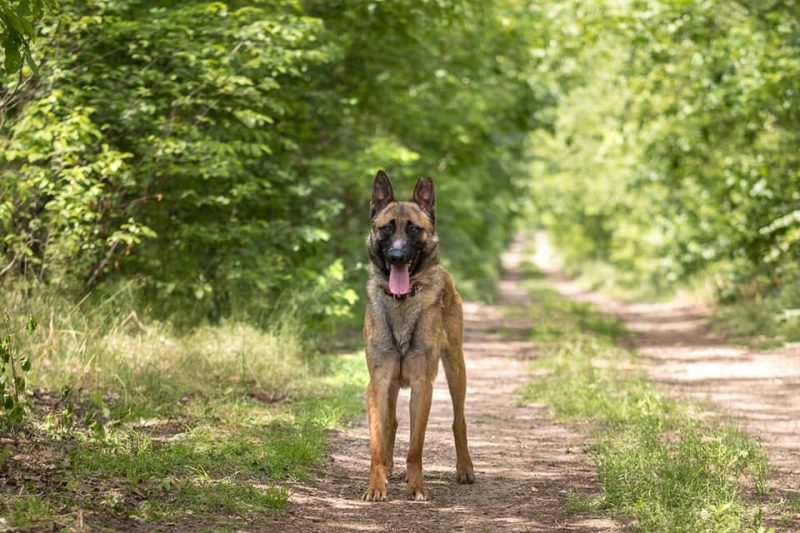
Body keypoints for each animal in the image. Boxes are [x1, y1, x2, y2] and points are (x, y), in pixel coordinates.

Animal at [362, 168, 476, 500]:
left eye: (414, 229)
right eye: (387, 229)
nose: (398, 256)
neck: (401, 302)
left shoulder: (422, 386)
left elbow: (415, 446)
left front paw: (416, 487)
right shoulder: (378, 383)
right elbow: (378, 441)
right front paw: (376, 485)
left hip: (456, 369)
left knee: (459, 421)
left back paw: (465, 468)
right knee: (391, 423)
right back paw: (388, 468)